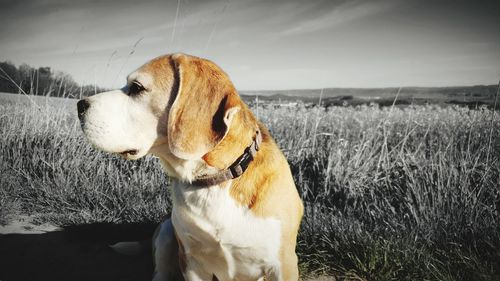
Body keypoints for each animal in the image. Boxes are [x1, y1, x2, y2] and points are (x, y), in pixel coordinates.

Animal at [77, 53, 304, 278]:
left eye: (137, 87)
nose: (79, 105)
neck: (215, 181)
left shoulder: (283, 264)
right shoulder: (191, 261)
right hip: (166, 230)